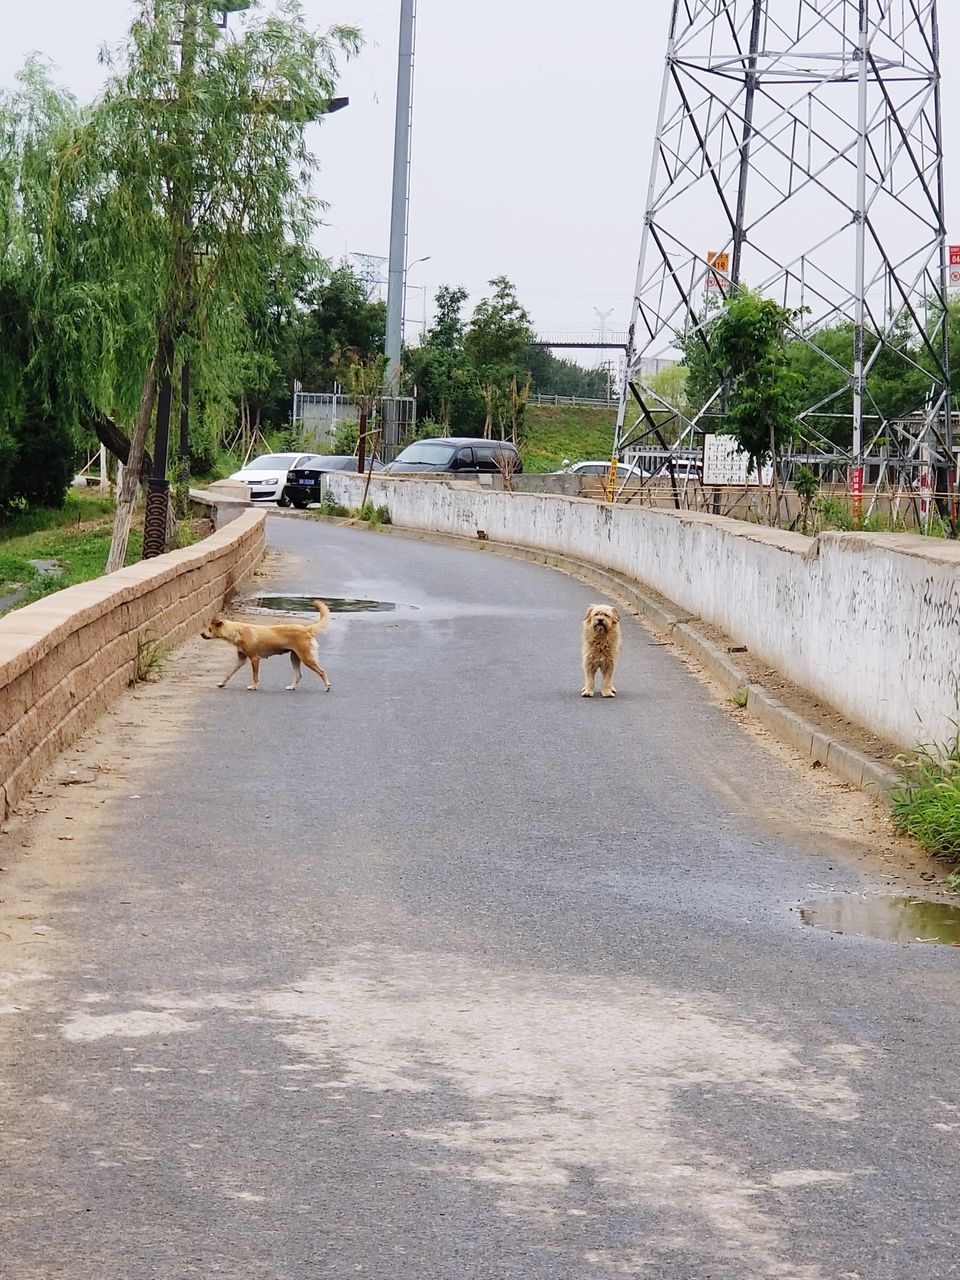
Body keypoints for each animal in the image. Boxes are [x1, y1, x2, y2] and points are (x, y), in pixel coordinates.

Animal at [200, 596, 332, 691]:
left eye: (209, 629)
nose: (201, 634)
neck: (237, 630)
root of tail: (306, 629)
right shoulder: (240, 660)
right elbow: (229, 673)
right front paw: (222, 683)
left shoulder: (254, 658)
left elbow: (255, 676)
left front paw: (254, 687)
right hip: (294, 657)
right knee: (299, 675)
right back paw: (292, 687)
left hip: (306, 658)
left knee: (321, 671)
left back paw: (327, 686)